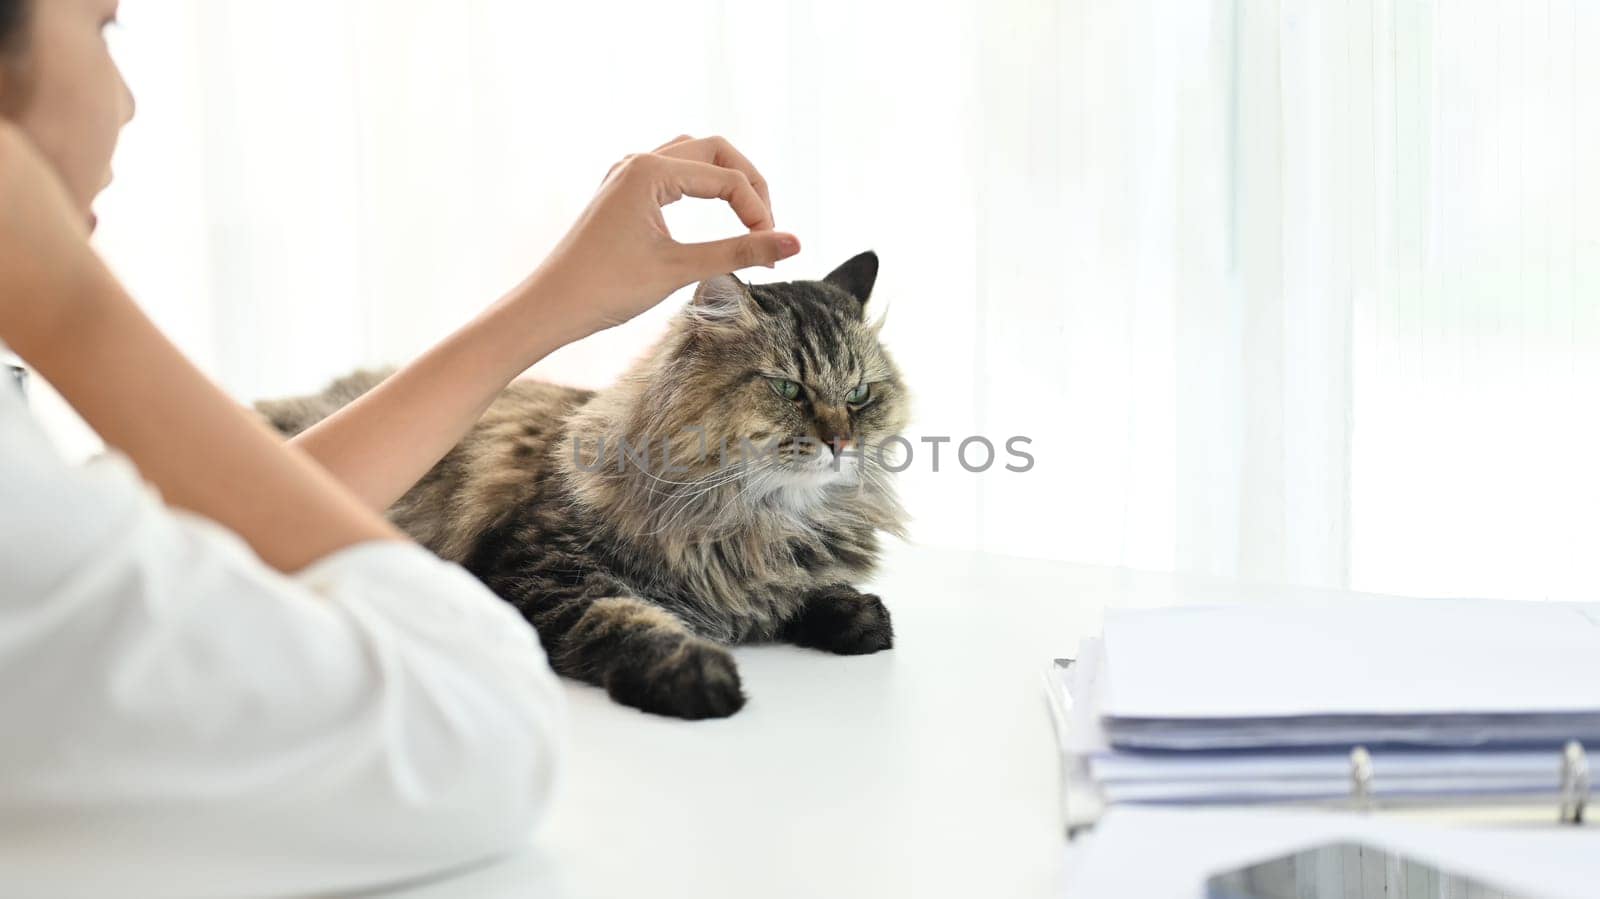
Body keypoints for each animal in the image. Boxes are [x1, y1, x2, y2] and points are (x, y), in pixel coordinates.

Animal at [256, 247, 908, 716]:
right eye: (787, 388)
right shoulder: (542, 569)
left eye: (859, 394)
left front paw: (856, 616)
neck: (763, 521)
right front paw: (697, 676)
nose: (841, 441)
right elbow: (624, 619)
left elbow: (802, 592)